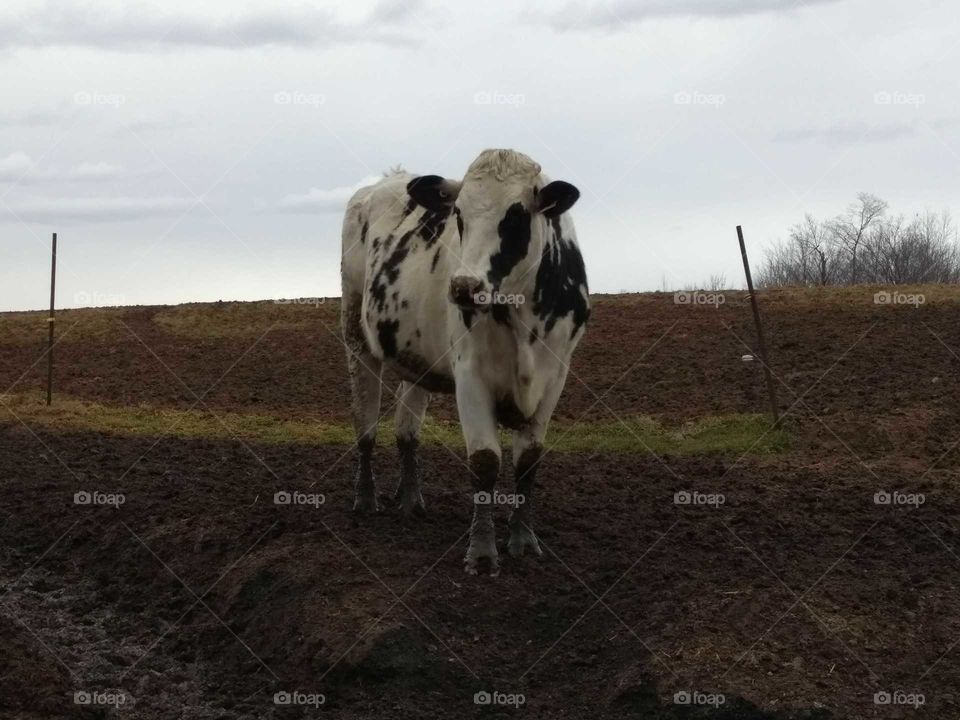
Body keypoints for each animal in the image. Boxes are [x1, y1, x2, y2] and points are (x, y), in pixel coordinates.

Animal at [340, 149, 589, 575]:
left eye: (517, 215)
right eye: (458, 214)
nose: (463, 287)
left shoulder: (555, 376)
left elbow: (528, 459)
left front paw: (523, 539)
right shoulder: (471, 376)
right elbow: (485, 461)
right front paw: (483, 554)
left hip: (417, 359)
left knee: (406, 429)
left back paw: (411, 501)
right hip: (357, 339)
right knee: (366, 425)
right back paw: (366, 498)